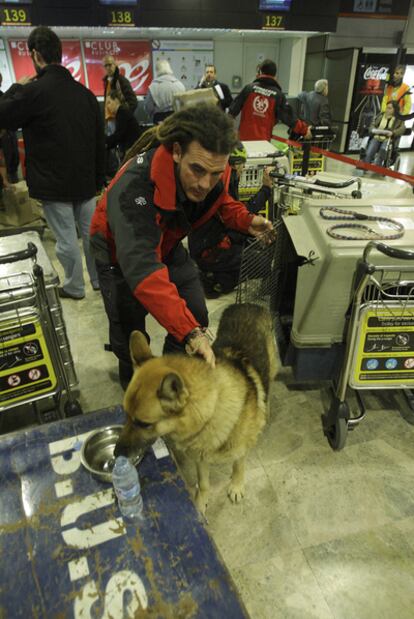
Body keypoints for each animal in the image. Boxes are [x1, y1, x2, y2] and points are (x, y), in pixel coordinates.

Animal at [115, 304, 276, 512]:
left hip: (272, 367)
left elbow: (238, 465)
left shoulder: (242, 446)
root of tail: (247, 304)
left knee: (268, 387)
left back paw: (266, 410)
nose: (116, 453)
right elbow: (203, 481)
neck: (213, 409)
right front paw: (200, 501)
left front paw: (237, 485)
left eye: (143, 423)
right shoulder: (200, 456)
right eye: (126, 415)